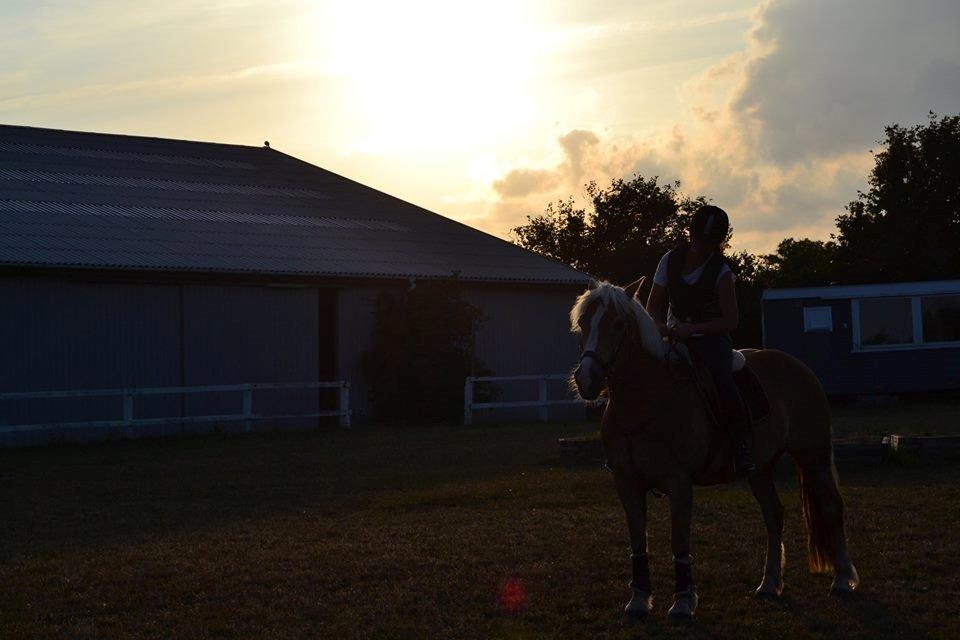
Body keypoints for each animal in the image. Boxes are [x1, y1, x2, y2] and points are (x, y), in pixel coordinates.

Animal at [568, 278, 860, 620]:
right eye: (583, 323)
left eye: (617, 324)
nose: (586, 379)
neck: (645, 401)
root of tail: (800, 368)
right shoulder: (626, 482)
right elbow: (638, 541)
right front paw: (639, 599)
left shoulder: (679, 482)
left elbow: (679, 541)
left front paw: (683, 601)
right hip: (760, 468)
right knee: (774, 514)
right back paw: (770, 583)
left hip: (813, 456)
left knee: (831, 506)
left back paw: (842, 579)